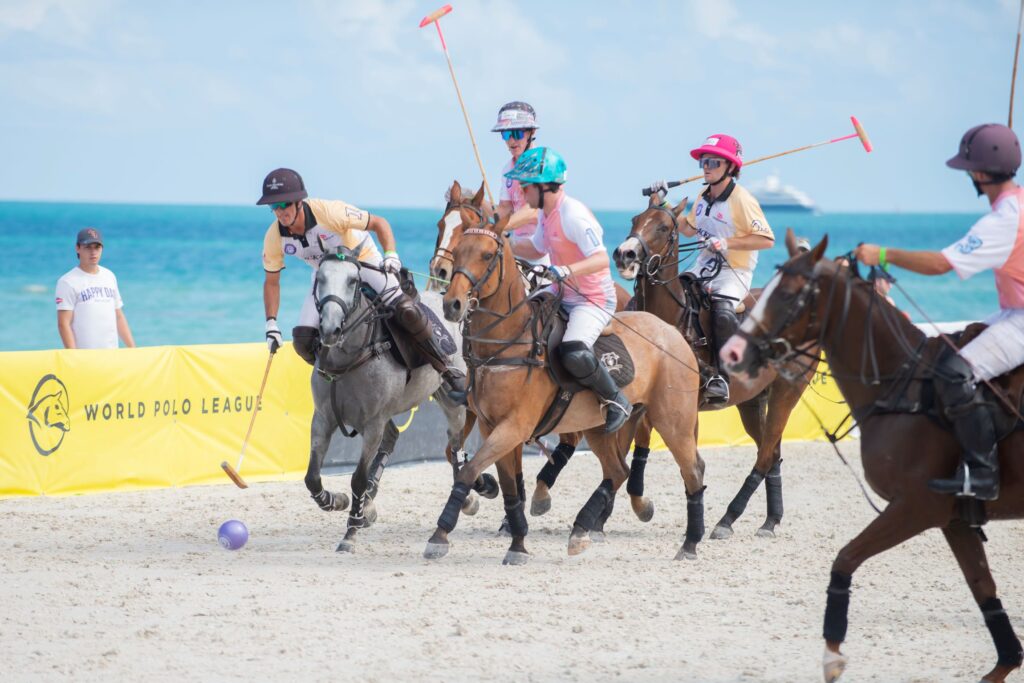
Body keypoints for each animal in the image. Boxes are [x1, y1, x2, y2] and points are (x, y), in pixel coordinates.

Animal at [299, 248, 475, 552]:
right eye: (319, 278)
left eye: (352, 281)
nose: (330, 329)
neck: (349, 357)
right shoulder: (323, 418)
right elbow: (312, 477)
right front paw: (338, 501)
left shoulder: (372, 424)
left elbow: (357, 478)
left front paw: (350, 532)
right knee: (395, 438)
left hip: (451, 399)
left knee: (455, 442)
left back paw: (466, 499)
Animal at [423, 188, 704, 565]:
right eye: (447, 234)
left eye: (487, 254)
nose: (452, 303)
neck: (506, 343)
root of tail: (671, 331)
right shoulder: (490, 424)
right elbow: (506, 486)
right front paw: (517, 542)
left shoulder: (514, 426)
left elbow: (469, 471)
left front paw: (440, 535)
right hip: (600, 426)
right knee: (618, 470)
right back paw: (582, 529)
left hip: (673, 420)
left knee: (691, 470)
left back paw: (689, 542)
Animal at [610, 196, 819, 540]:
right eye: (634, 219)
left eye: (663, 227)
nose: (625, 254)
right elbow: (630, 448)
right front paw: (630, 508)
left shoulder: (685, 404)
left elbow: (688, 461)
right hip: (752, 401)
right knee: (772, 452)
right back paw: (770, 520)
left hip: (787, 391)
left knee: (766, 454)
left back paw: (727, 519)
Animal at [720, 232, 1024, 679]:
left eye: (790, 294)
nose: (732, 352)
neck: (899, 385)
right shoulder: (953, 518)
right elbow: (984, 591)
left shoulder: (919, 506)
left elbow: (845, 558)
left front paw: (832, 655)